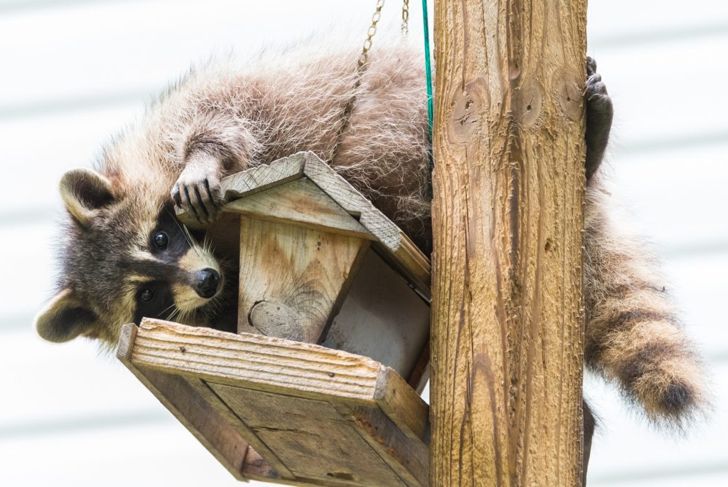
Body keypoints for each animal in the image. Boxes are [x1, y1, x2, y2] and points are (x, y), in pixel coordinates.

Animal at [34, 44, 704, 469]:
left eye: (160, 239)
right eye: (146, 295)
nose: (202, 282)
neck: (221, 251)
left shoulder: (196, 113)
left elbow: (222, 117)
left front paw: (203, 160)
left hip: (416, 108)